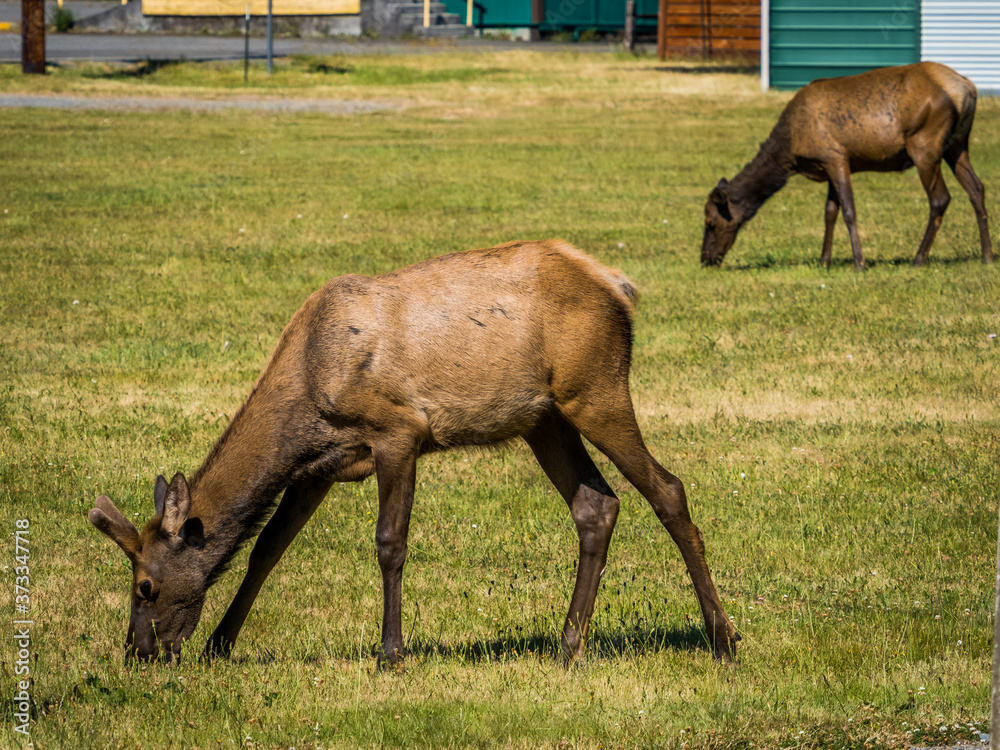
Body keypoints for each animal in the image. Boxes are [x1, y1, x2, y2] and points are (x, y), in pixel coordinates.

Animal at [88, 241, 744, 668]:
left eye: (145, 586)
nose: (138, 651)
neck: (308, 391)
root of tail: (619, 286)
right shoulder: (318, 467)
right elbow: (267, 549)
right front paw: (221, 643)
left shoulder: (397, 431)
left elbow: (389, 542)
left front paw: (391, 651)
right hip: (544, 418)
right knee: (596, 505)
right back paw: (567, 646)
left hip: (596, 388)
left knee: (667, 489)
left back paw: (723, 640)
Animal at [704, 63, 992, 270]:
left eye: (710, 221)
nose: (705, 258)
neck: (790, 152)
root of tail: (967, 88)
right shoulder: (829, 164)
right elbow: (830, 212)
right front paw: (824, 260)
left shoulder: (835, 157)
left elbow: (849, 211)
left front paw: (859, 263)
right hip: (958, 144)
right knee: (977, 188)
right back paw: (987, 255)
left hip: (925, 143)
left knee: (940, 198)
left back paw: (919, 258)